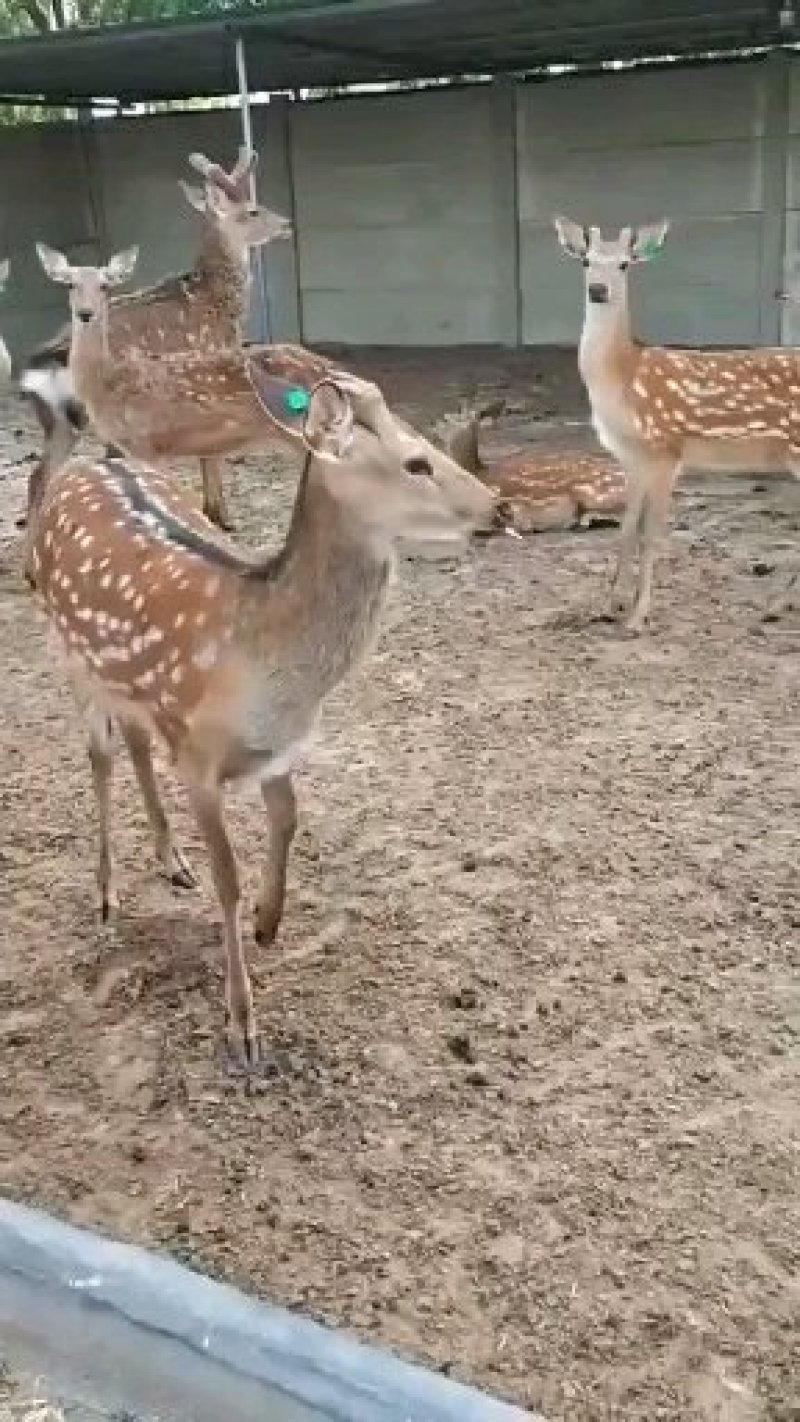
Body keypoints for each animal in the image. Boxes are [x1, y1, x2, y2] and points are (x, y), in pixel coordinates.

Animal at [19, 147, 291, 531]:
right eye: (252, 209)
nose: (286, 224)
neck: (215, 302)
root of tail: (40, 364)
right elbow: (210, 454)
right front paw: (220, 517)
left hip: (57, 418)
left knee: (38, 477)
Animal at [26, 362, 512, 1076]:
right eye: (417, 461)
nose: (500, 508)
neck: (270, 672)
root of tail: (83, 467)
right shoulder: (200, 760)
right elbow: (226, 879)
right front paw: (244, 1028)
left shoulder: (280, 748)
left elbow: (288, 821)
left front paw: (268, 920)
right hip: (68, 656)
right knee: (100, 756)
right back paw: (107, 894)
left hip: (129, 686)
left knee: (137, 740)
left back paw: (171, 859)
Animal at [554, 216, 800, 632]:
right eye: (586, 261)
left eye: (624, 264)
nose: (598, 290)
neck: (622, 380)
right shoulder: (630, 456)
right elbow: (626, 531)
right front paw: (607, 606)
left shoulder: (667, 448)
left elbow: (652, 534)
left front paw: (638, 615)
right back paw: (777, 606)